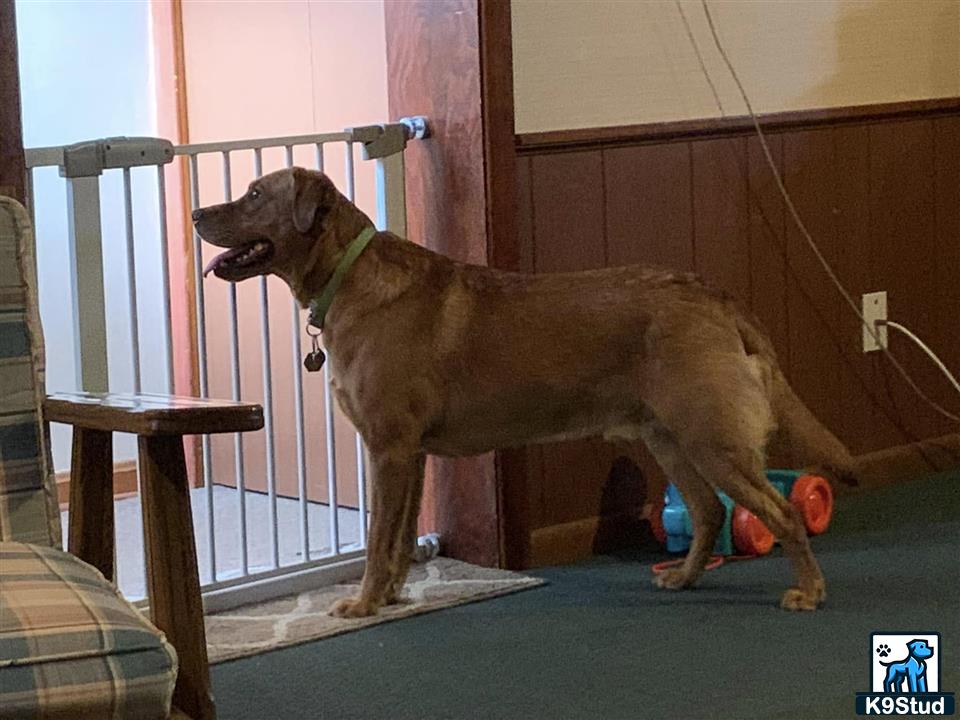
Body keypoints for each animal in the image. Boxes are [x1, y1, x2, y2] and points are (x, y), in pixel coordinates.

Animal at [195, 167, 856, 612]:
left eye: (254, 195)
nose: (199, 213)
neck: (347, 276)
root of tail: (713, 294)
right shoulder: (411, 453)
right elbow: (402, 539)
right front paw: (392, 597)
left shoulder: (387, 447)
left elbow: (380, 538)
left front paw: (361, 604)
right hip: (669, 437)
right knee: (707, 510)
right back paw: (684, 578)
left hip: (710, 437)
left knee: (781, 512)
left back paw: (809, 591)